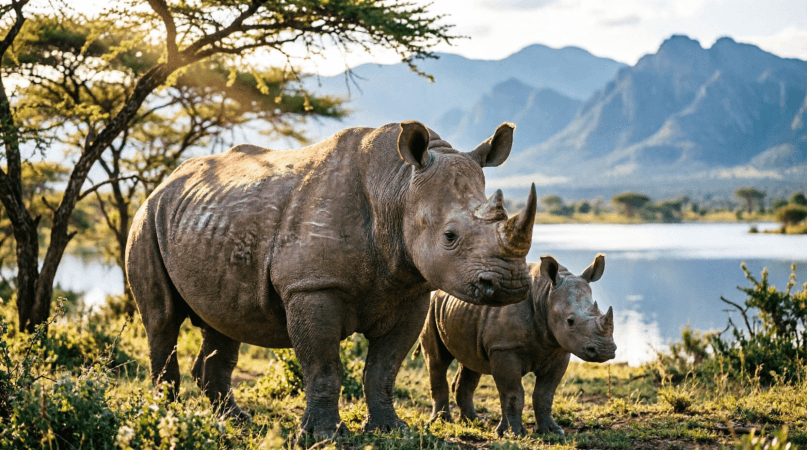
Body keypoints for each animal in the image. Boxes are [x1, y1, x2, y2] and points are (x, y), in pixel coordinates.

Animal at [125, 121, 538, 437]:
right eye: (450, 236)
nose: (512, 286)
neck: (399, 187)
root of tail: (166, 182)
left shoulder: (412, 290)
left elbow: (384, 369)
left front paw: (390, 429)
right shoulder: (312, 286)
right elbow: (324, 367)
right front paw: (323, 434)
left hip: (207, 219)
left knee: (223, 321)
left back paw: (235, 419)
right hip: (148, 218)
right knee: (162, 320)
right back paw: (167, 414)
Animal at [420, 254, 616, 436]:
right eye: (570, 321)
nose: (605, 350)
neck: (545, 295)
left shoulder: (559, 350)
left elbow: (545, 394)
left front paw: (551, 430)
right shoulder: (504, 348)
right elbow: (513, 394)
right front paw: (514, 433)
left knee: (471, 363)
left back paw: (474, 422)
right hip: (431, 306)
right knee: (437, 361)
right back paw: (441, 422)